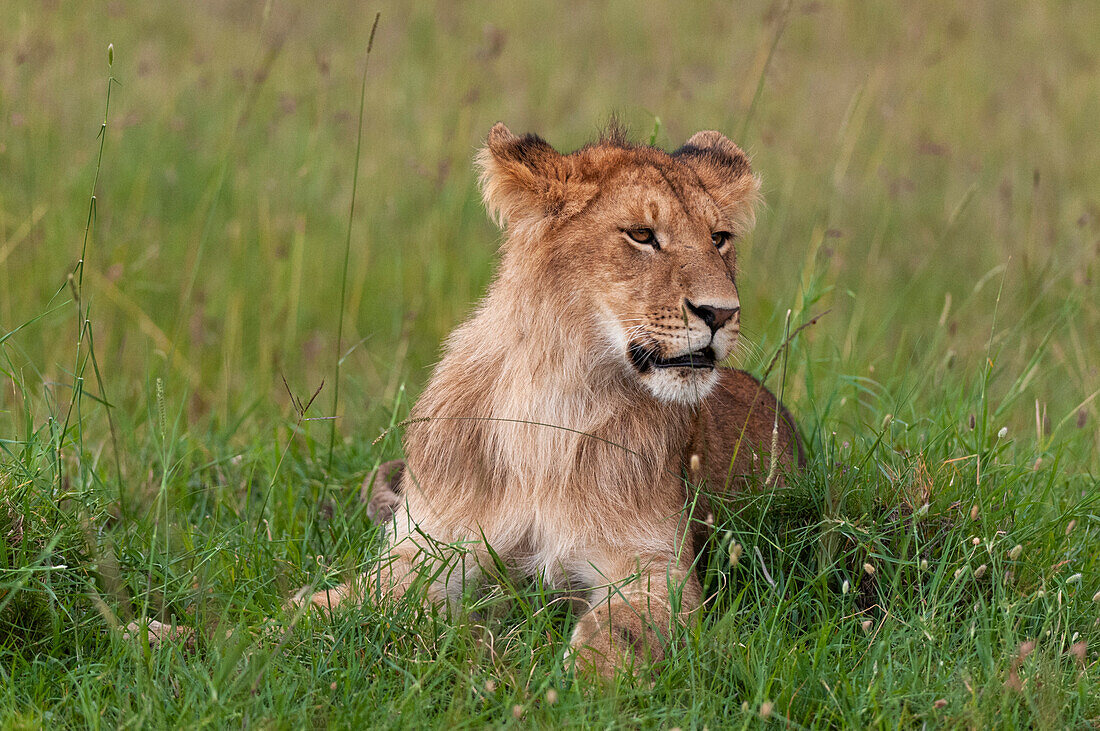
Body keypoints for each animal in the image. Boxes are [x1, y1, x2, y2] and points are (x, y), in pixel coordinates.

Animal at [297, 122, 805, 677]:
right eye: (642, 235)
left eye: (719, 239)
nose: (722, 312)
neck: (555, 401)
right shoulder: (429, 546)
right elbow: (332, 605)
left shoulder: (654, 566)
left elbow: (619, 635)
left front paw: (565, 683)